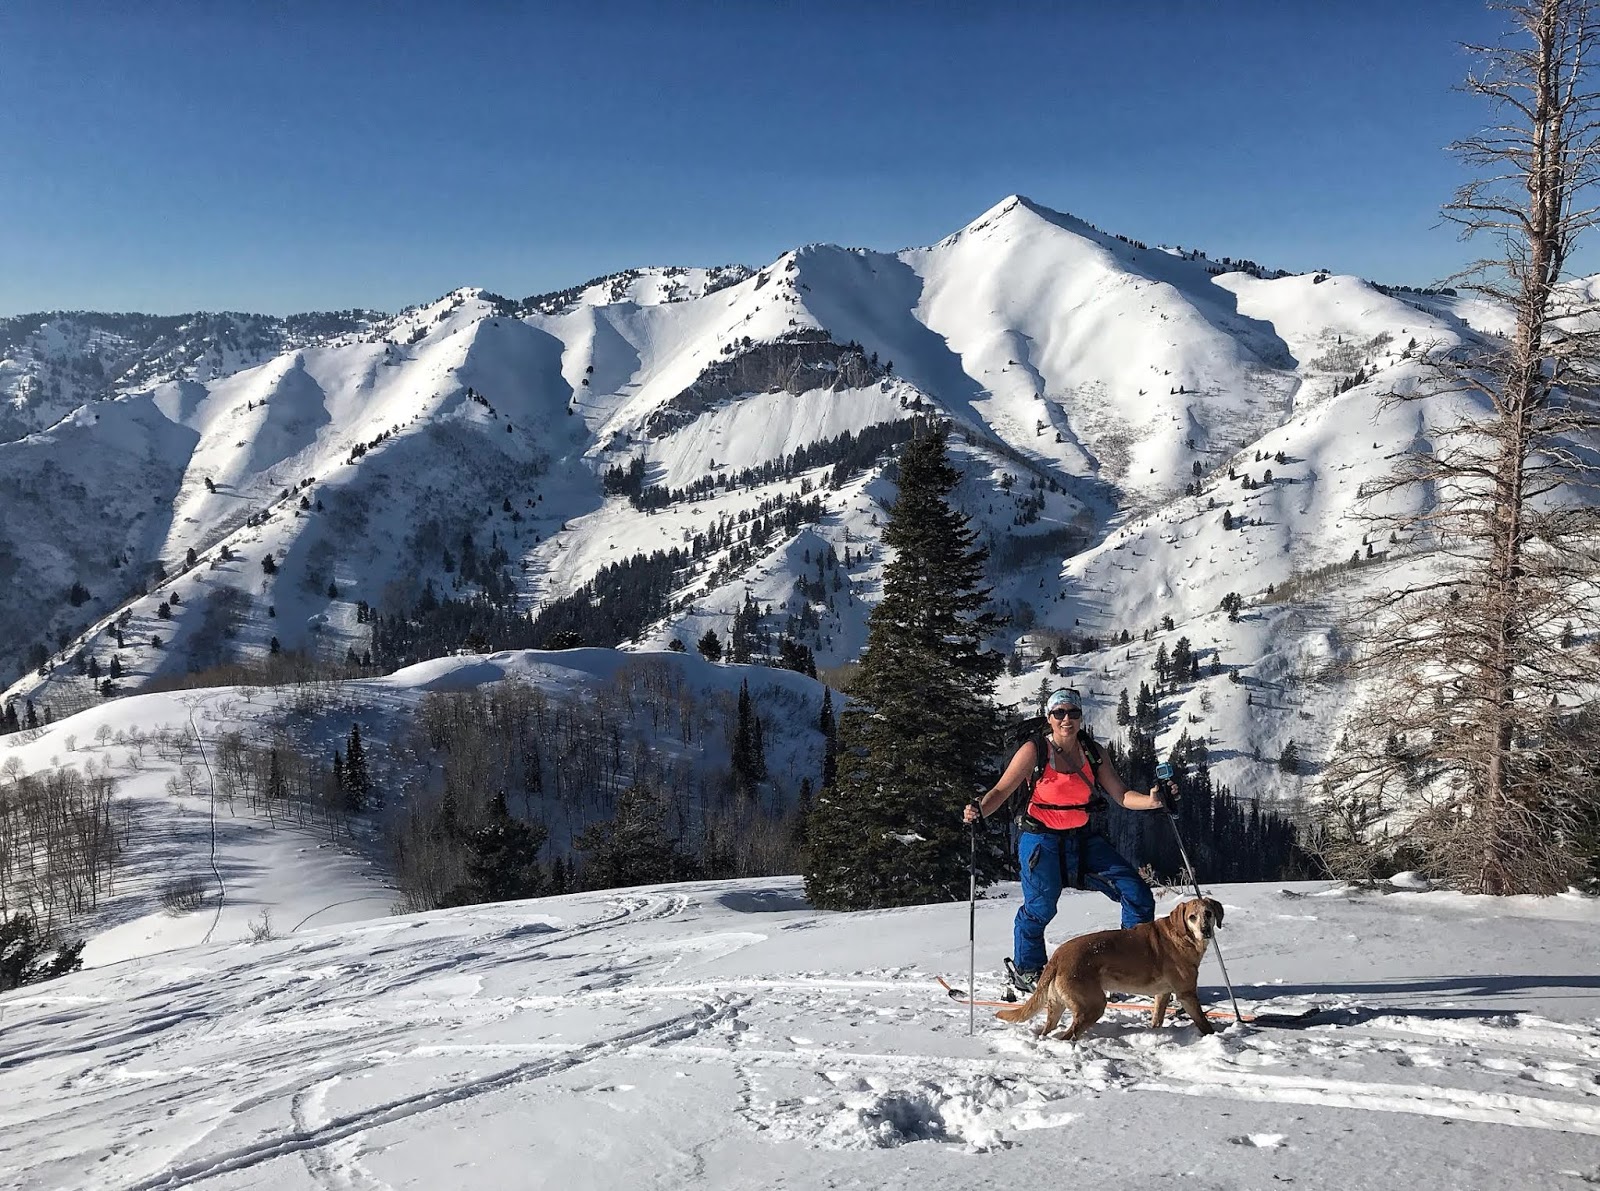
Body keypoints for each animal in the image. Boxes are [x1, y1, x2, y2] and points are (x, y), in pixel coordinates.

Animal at [998, 896, 1222, 1037]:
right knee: (1067, 1036)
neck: (1183, 936)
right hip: (1093, 1005)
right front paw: (1214, 1035)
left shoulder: (1163, 993)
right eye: (1192, 917)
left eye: (1208, 913)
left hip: (1057, 1006)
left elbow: (1157, 1019)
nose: (1206, 930)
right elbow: (1204, 1023)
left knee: (1047, 1033)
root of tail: (1058, 956)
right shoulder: (1186, 994)